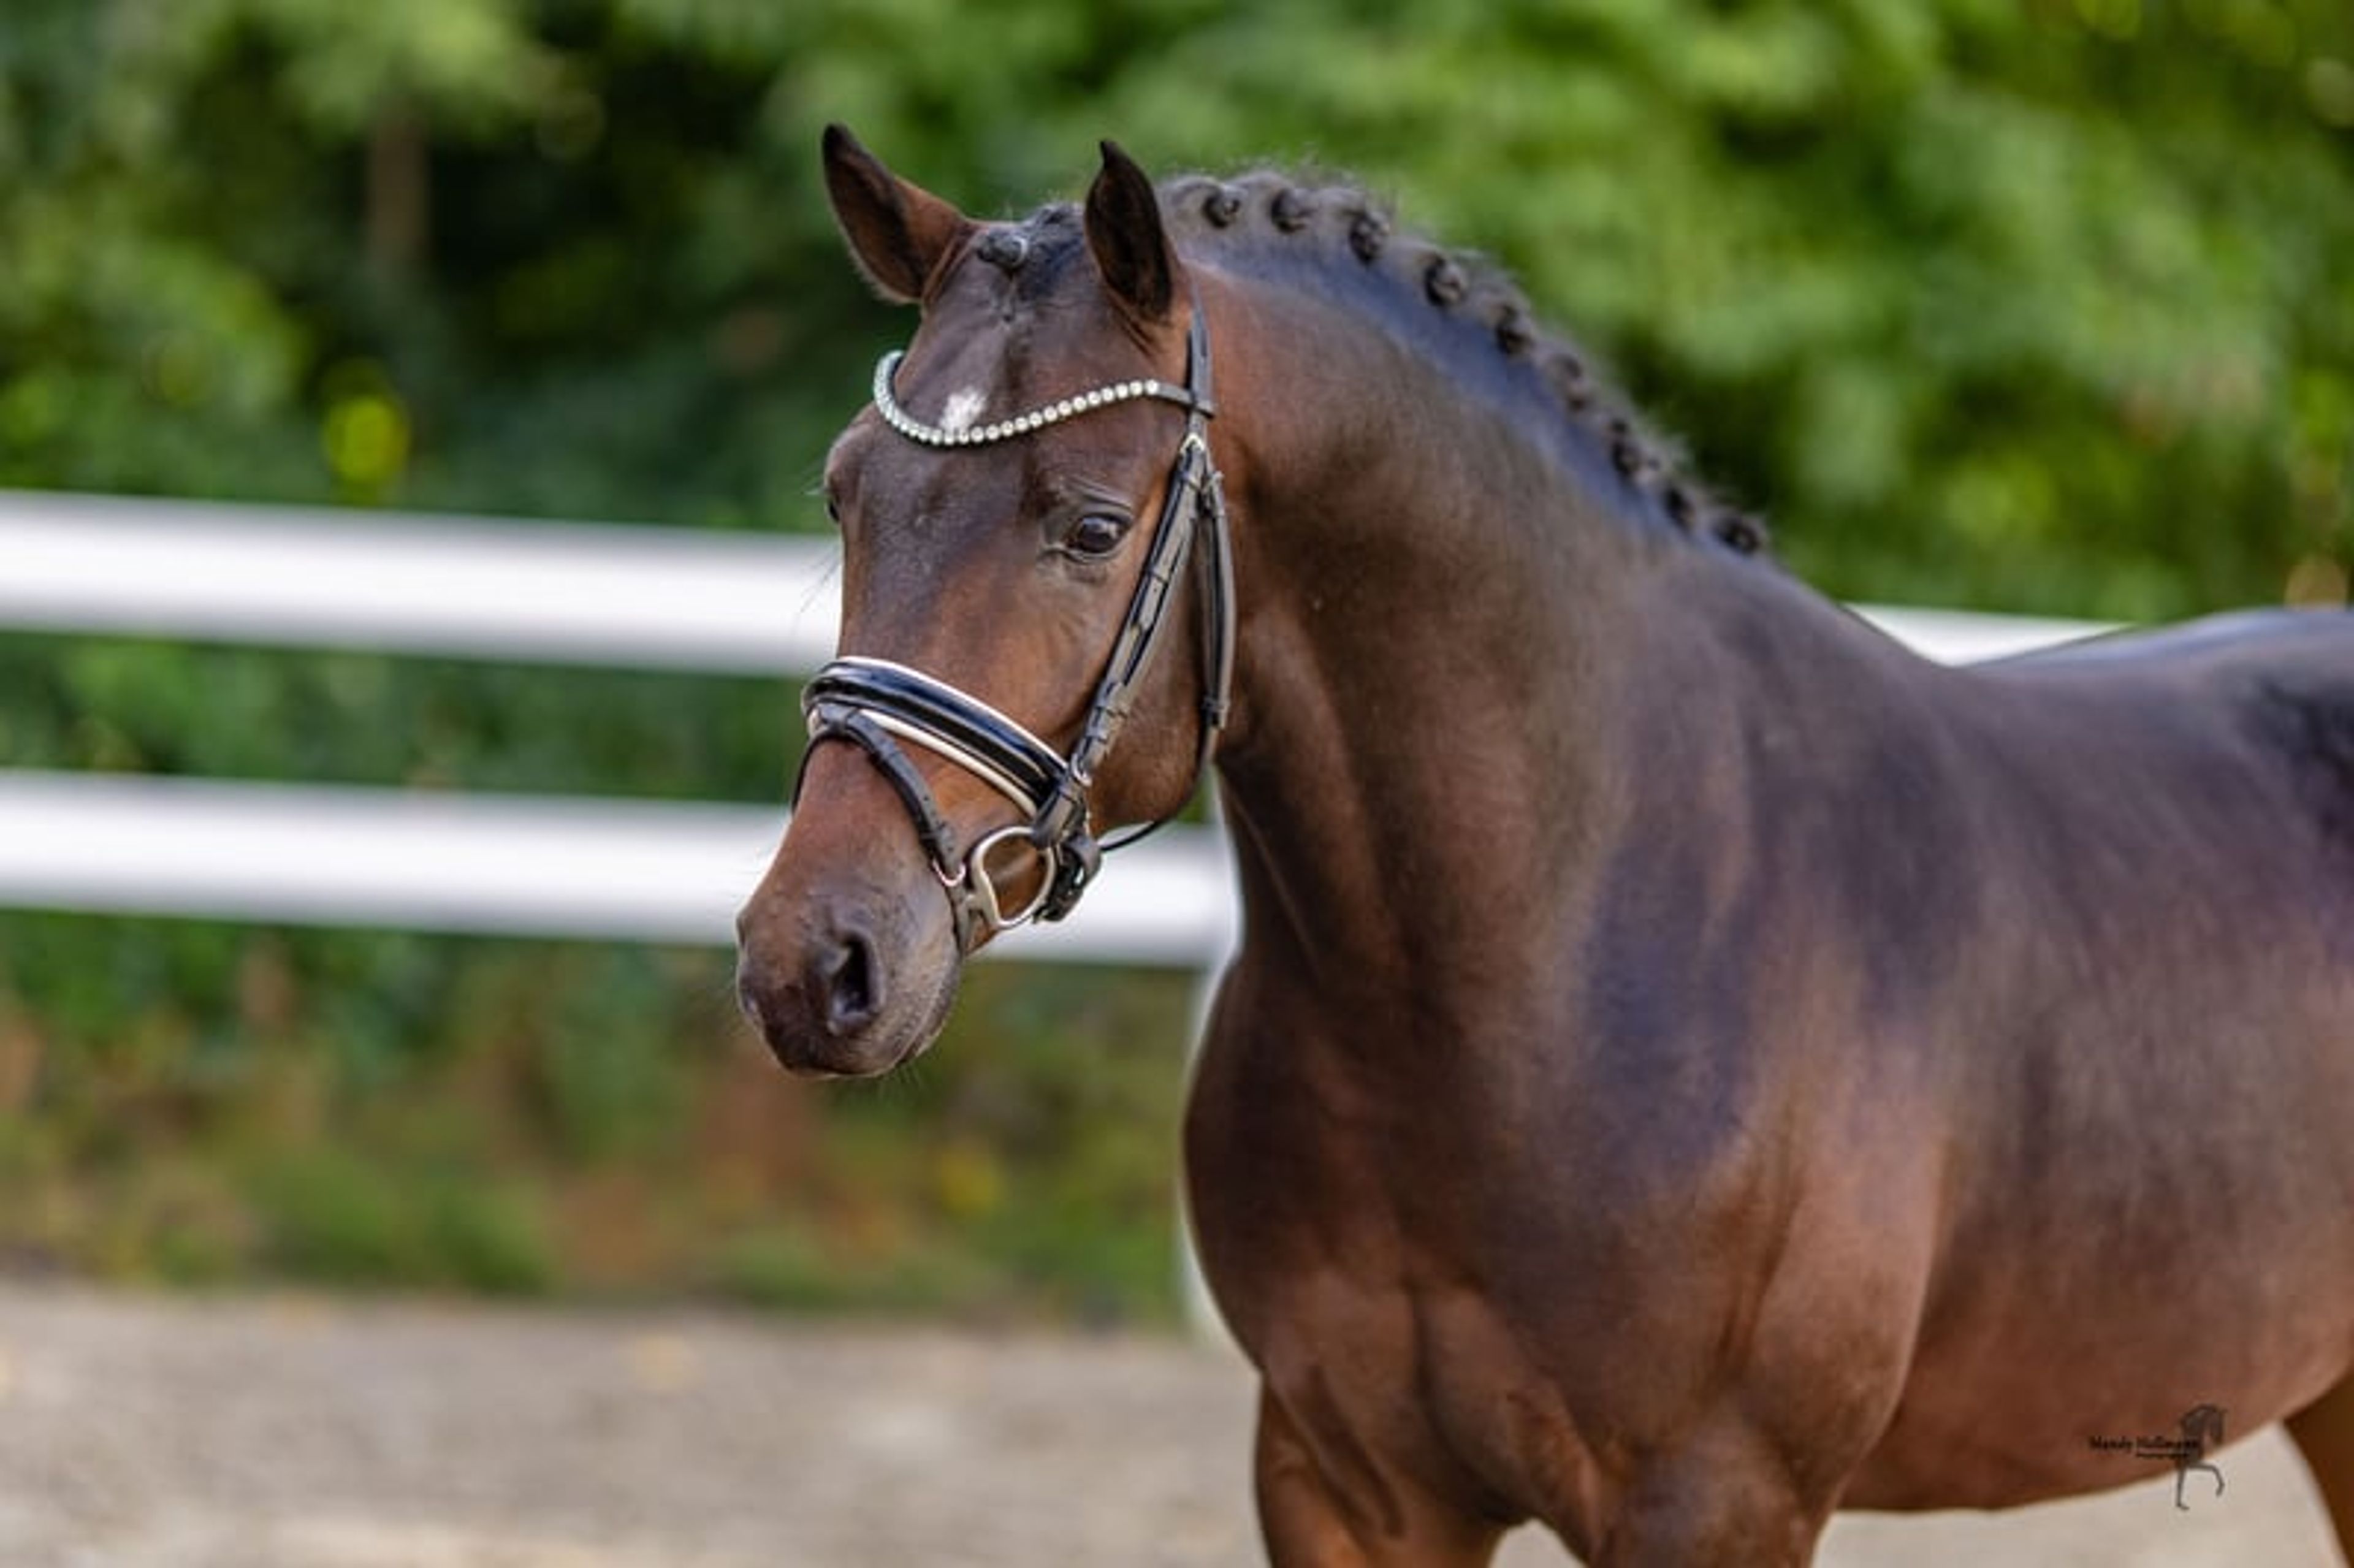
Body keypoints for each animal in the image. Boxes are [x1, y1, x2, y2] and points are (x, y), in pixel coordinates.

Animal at [733, 128, 2354, 1565]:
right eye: (844, 495)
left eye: (1087, 524)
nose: (815, 963)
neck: (1554, 949)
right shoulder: (1345, 1485)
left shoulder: (1717, 1505)